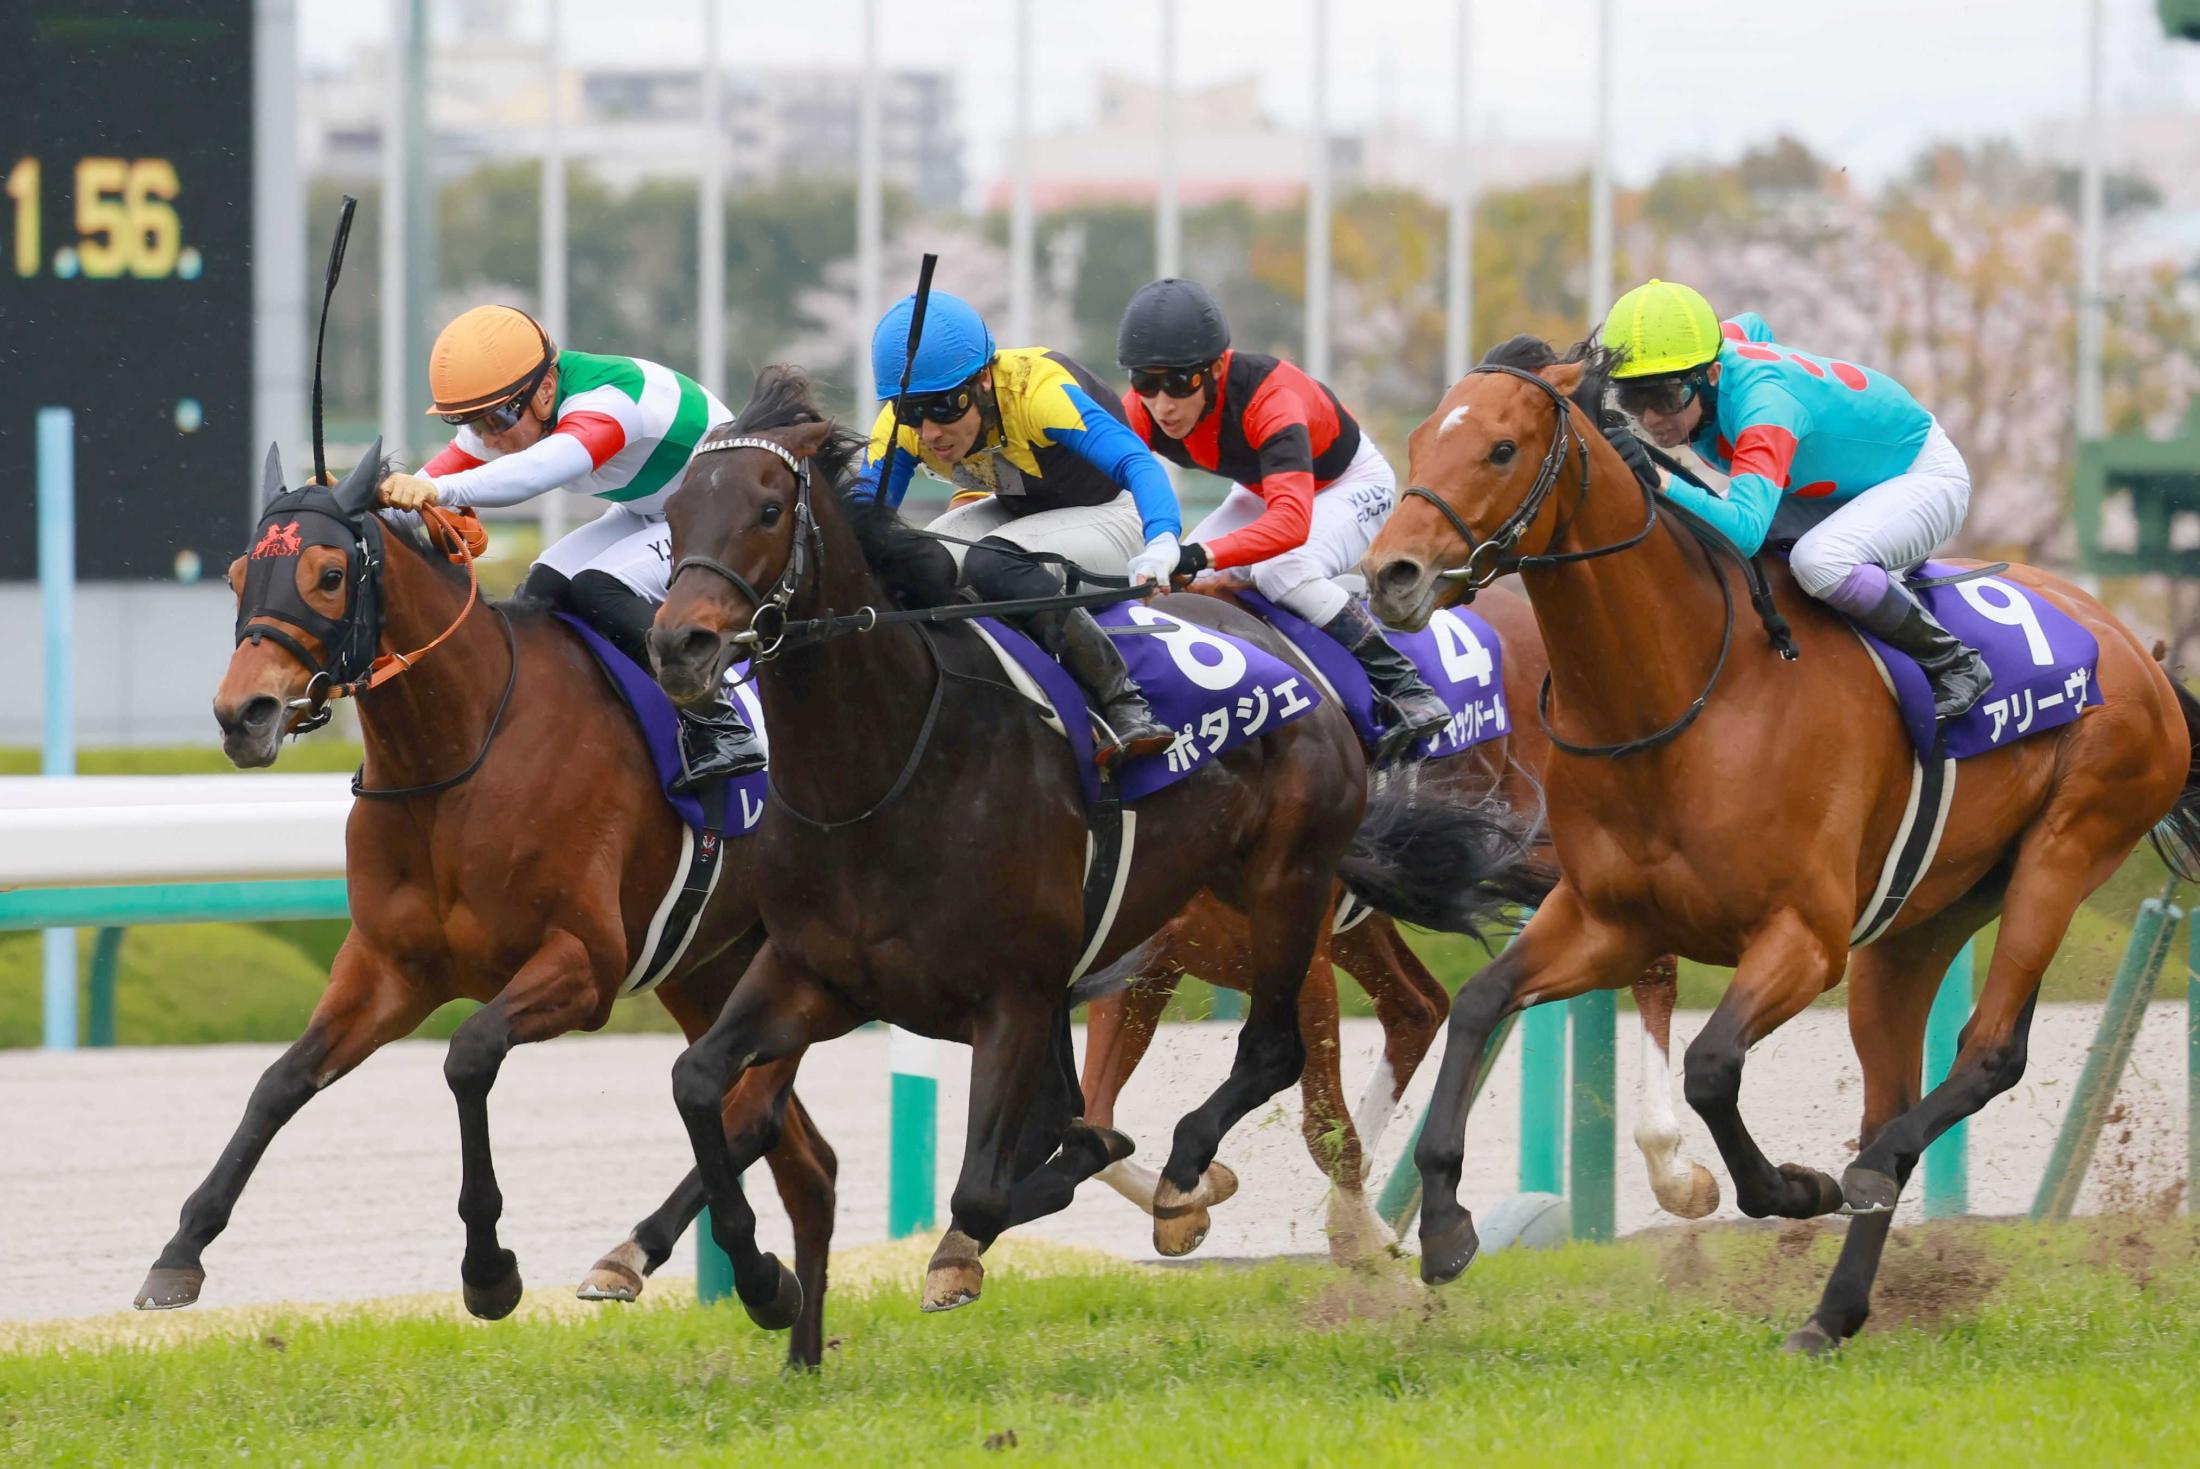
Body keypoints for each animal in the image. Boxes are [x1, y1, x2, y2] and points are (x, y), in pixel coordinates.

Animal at [144, 448, 831, 1363]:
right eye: (234, 574)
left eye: (328, 574)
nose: (240, 714)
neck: (459, 754)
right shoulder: (389, 967)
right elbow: (279, 1082)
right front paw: (181, 1249)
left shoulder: (583, 966)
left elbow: (468, 1056)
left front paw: (489, 1269)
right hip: (707, 966)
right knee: (796, 1151)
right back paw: (785, 1333)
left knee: (750, 1113)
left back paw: (716, 1270)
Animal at [1082, 580, 1716, 1257]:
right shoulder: (1147, 968)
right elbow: (1093, 1119)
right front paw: (1197, 1195)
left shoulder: (1297, 957)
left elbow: (1320, 1122)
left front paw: (1370, 1246)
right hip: (1371, 910)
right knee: (1416, 1006)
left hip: (1556, 855)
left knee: (1652, 962)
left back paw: (1672, 1170)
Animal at [1355, 345, 2200, 1354]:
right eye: (1417, 440)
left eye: (1500, 448)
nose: (1391, 574)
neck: (1684, 691)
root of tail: (2138, 649)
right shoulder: (1607, 920)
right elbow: (1482, 1001)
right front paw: (1444, 1227)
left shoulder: (1803, 938)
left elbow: (1712, 1066)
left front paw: (1791, 1186)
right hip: (1919, 925)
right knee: (1897, 1087)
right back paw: (1832, 1312)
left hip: (2067, 848)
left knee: (1989, 1053)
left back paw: (1865, 1173)